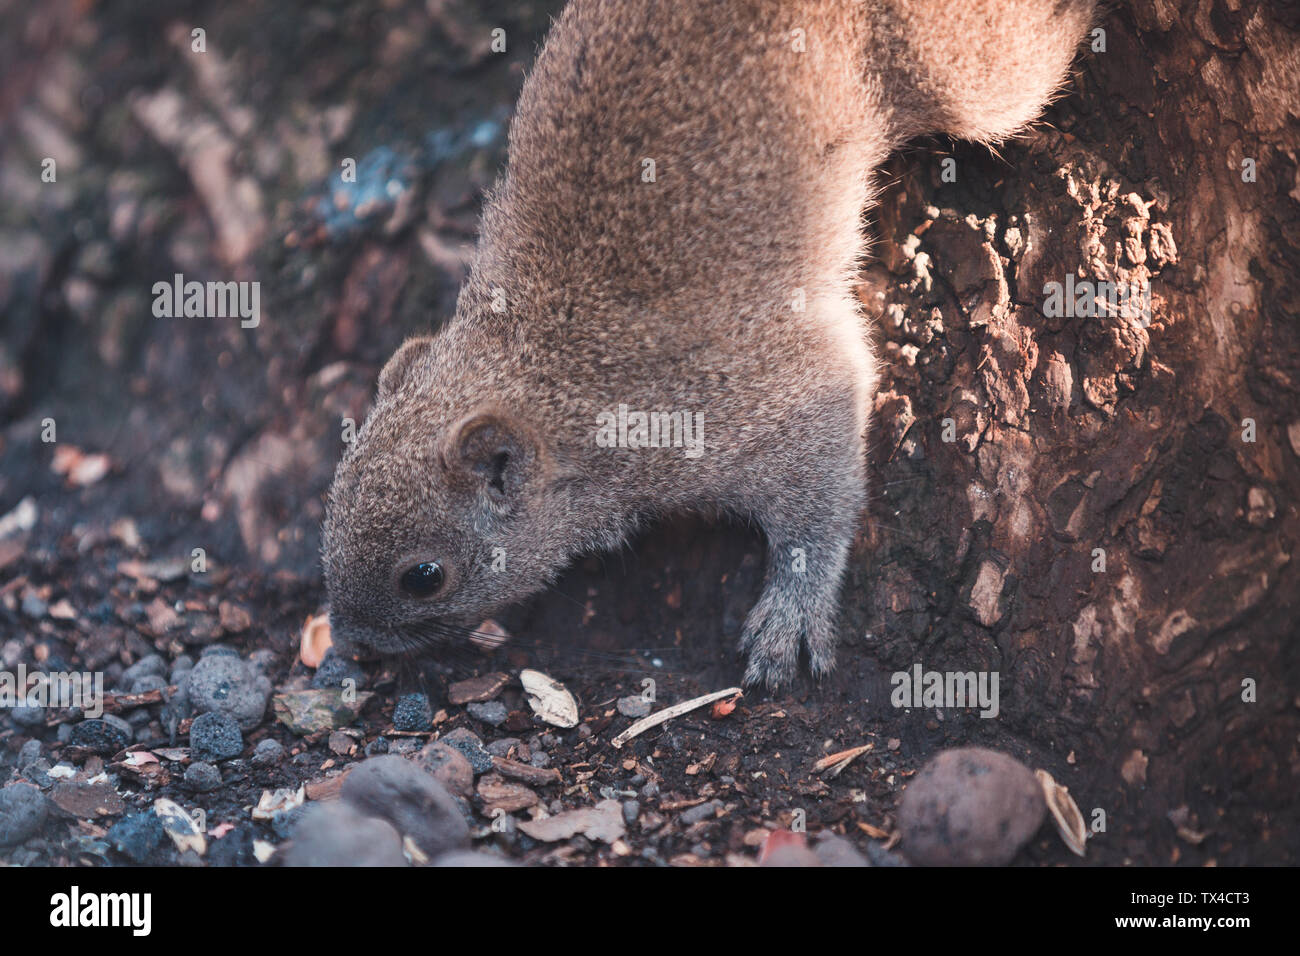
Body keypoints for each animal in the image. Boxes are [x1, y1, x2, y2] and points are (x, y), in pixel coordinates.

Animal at [322, 0, 1096, 689]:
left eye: (424, 577)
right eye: (328, 512)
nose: (354, 643)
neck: (551, 368)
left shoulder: (760, 396)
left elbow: (821, 499)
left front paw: (791, 615)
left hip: (964, 71)